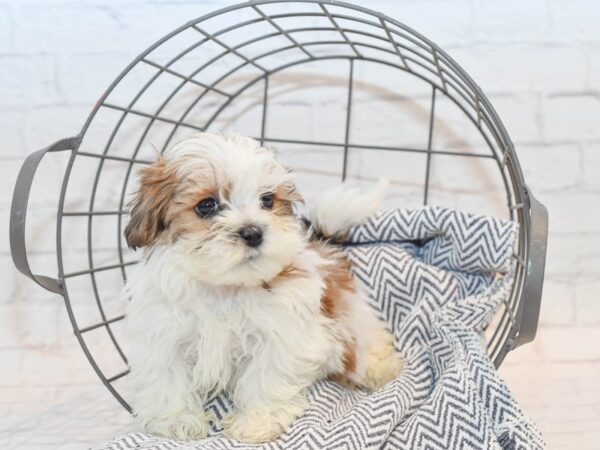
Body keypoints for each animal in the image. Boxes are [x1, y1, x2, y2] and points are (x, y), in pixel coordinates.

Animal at [123, 133, 404, 442]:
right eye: (206, 205)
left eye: (267, 200)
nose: (253, 232)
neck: (225, 287)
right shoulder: (163, 334)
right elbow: (167, 378)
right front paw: (176, 421)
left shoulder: (282, 335)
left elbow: (265, 379)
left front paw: (256, 422)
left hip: (350, 312)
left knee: (365, 340)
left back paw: (380, 369)